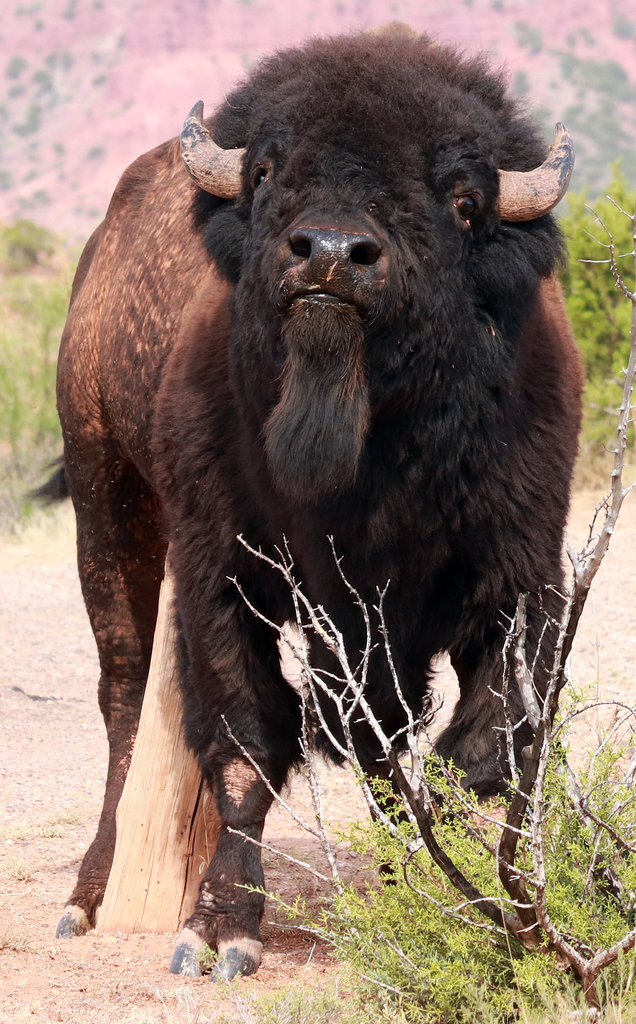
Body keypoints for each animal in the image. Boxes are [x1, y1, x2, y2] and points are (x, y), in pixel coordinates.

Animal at [49, 26, 582, 979]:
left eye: (463, 200)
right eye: (267, 171)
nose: (330, 253)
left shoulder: (517, 587)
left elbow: (469, 754)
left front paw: (454, 900)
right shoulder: (221, 582)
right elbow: (246, 748)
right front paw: (218, 934)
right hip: (104, 497)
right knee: (123, 701)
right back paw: (87, 898)